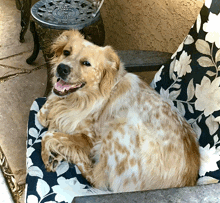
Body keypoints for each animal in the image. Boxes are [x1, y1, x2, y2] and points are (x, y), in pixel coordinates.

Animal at [37, 29, 200, 192]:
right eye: (66, 52)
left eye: (86, 63)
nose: (61, 68)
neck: (80, 98)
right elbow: (44, 116)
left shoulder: (90, 138)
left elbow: (48, 135)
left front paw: (50, 153)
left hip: (120, 125)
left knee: (97, 179)